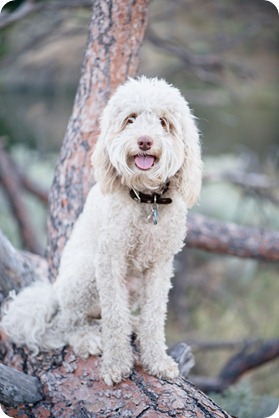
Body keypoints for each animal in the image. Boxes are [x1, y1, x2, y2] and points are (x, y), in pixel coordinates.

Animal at [0, 77, 202, 386]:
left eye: (164, 122)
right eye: (130, 119)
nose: (145, 141)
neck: (146, 200)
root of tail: (53, 293)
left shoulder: (160, 265)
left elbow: (155, 315)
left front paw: (157, 361)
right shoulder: (110, 260)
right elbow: (114, 316)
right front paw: (117, 364)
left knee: (101, 316)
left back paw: (131, 324)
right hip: (85, 273)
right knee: (65, 325)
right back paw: (88, 339)